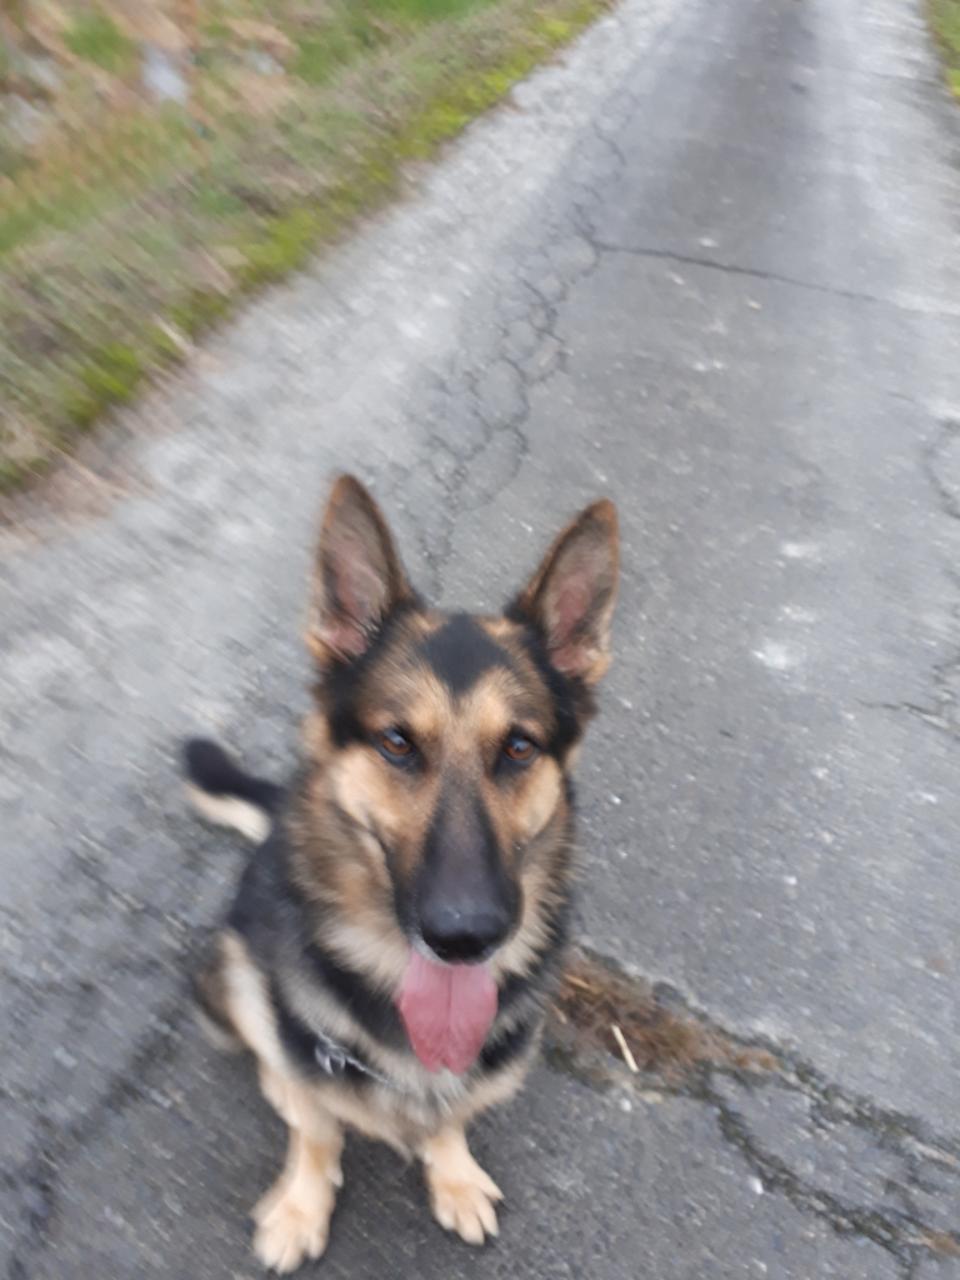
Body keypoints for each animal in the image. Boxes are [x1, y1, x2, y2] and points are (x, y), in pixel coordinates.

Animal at [184, 475, 619, 1272]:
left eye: (518, 747)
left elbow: (452, 1112)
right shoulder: (306, 1051)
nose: (465, 938)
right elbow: (316, 1129)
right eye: (395, 742)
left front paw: (454, 1175)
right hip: (233, 971)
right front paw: (302, 1206)